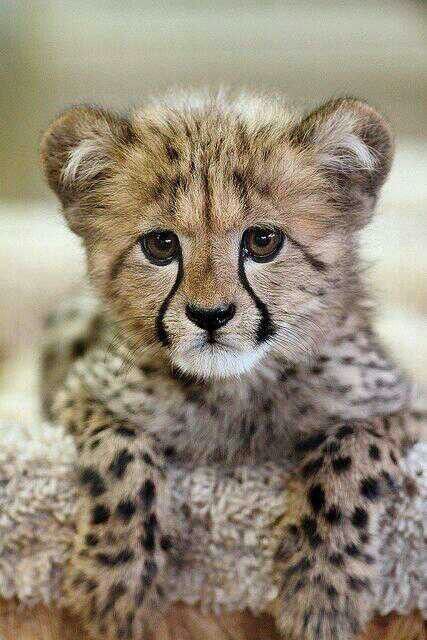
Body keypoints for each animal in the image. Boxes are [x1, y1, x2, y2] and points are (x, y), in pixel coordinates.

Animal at [40, 91, 425, 640]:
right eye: (161, 245)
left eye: (263, 241)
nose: (210, 315)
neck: (238, 386)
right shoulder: (81, 394)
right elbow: (122, 451)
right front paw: (116, 580)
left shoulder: (400, 407)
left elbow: (350, 448)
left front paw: (322, 587)